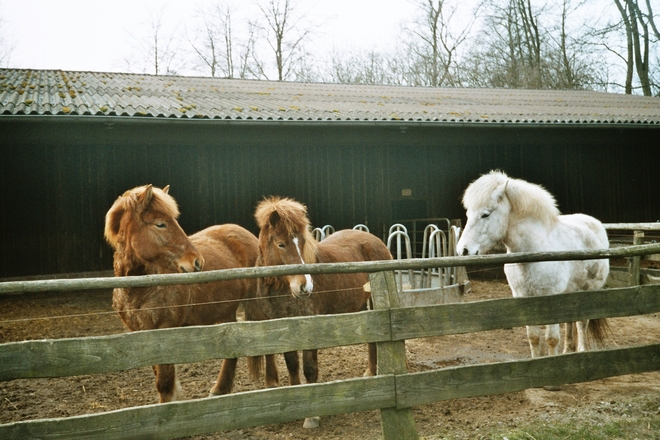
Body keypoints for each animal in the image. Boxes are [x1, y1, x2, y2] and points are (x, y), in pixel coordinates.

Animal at [104, 184, 260, 404]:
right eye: (160, 224)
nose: (197, 261)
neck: (139, 290)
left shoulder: (165, 328)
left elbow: (164, 382)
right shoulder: (142, 333)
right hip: (225, 311)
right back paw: (220, 389)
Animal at [248, 197, 392, 430]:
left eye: (302, 242)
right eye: (281, 243)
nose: (305, 286)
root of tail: (374, 239)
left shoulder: (309, 329)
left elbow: (309, 368)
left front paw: (311, 416)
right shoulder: (283, 328)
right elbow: (292, 365)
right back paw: (371, 372)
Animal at [458, 172, 608, 364]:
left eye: (485, 214)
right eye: (468, 214)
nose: (463, 250)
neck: (534, 251)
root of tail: (594, 223)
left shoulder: (551, 297)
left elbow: (552, 339)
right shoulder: (523, 297)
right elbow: (534, 337)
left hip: (588, 291)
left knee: (582, 323)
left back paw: (581, 352)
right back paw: (568, 351)